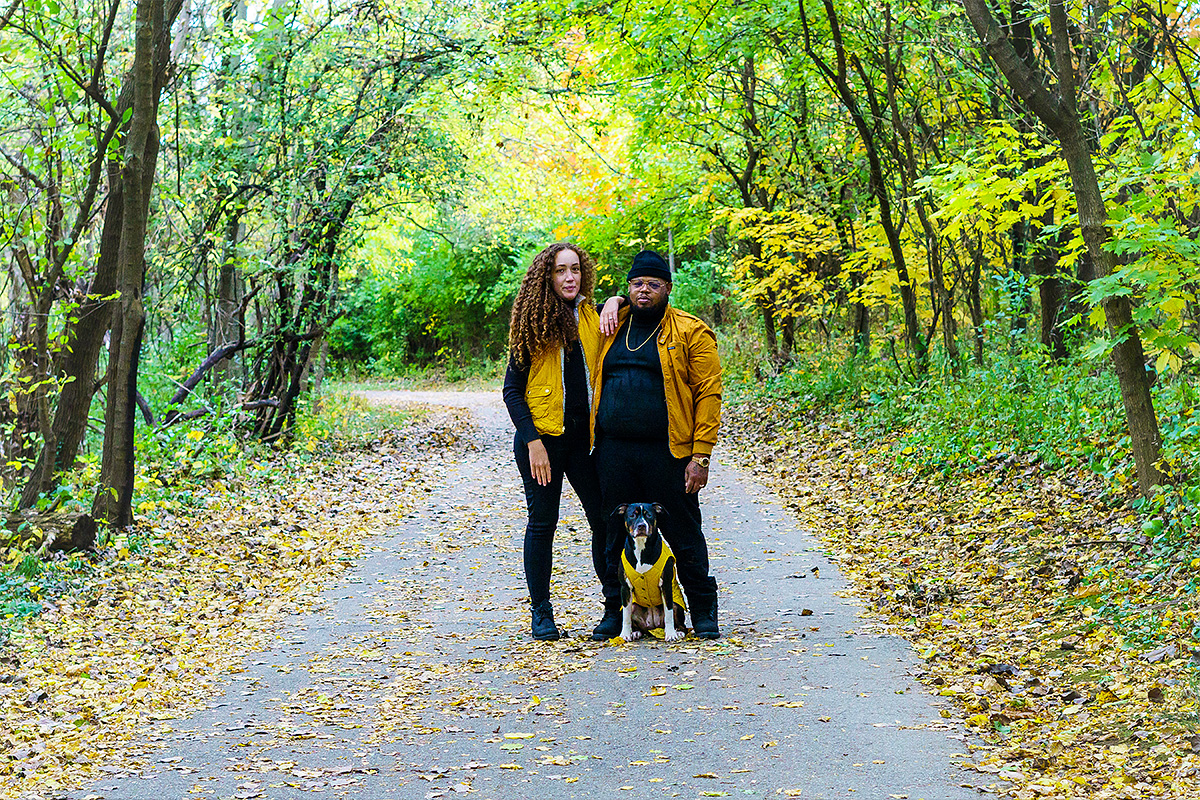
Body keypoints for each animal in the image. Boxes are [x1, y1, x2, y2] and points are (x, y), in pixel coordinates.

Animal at [614, 503, 691, 642]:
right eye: (632, 515)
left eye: (649, 515)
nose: (641, 525)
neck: (641, 548)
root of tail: (652, 626)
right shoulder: (625, 588)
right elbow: (626, 616)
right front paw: (625, 635)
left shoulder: (666, 585)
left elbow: (669, 613)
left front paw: (671, 634)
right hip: (634, 605)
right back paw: (635, 632)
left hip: (676, 604)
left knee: (680, 623)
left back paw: (679, 632)